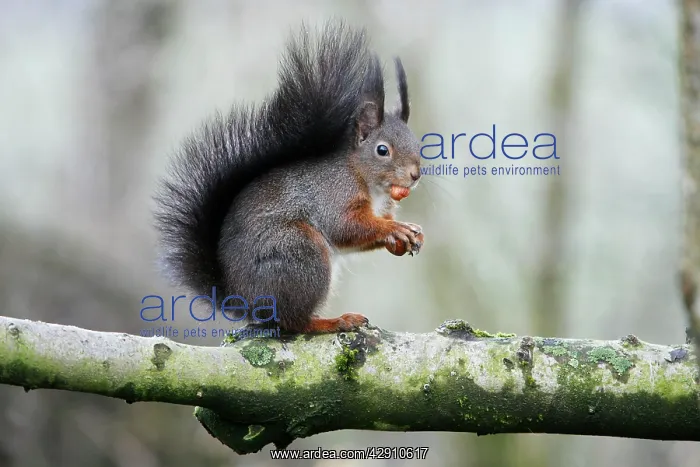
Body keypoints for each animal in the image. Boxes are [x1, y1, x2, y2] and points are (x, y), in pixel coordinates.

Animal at [153, 21, 424, 334]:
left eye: (416, 142)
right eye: (383, 150)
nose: (415, 175)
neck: (366, 179)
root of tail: (243, 301)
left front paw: (405, 236)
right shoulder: (334, 194)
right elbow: (345, 227)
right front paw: (396, 229)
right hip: (300, 253)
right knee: (295, 322)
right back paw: (334, 321)